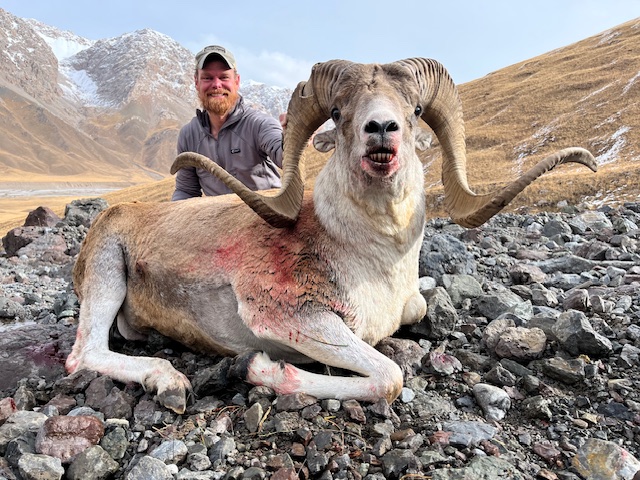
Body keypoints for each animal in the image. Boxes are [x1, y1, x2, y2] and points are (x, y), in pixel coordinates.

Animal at [67, 58, 597, 414]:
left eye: (415, 108)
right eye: (339, 111)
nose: (381, 129)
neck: (375, 262)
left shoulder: (404, 305)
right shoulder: (296, 320)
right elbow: (389, 375)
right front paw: (259, 370)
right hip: (108, 275)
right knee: (83, 354)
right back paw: (169, 381)